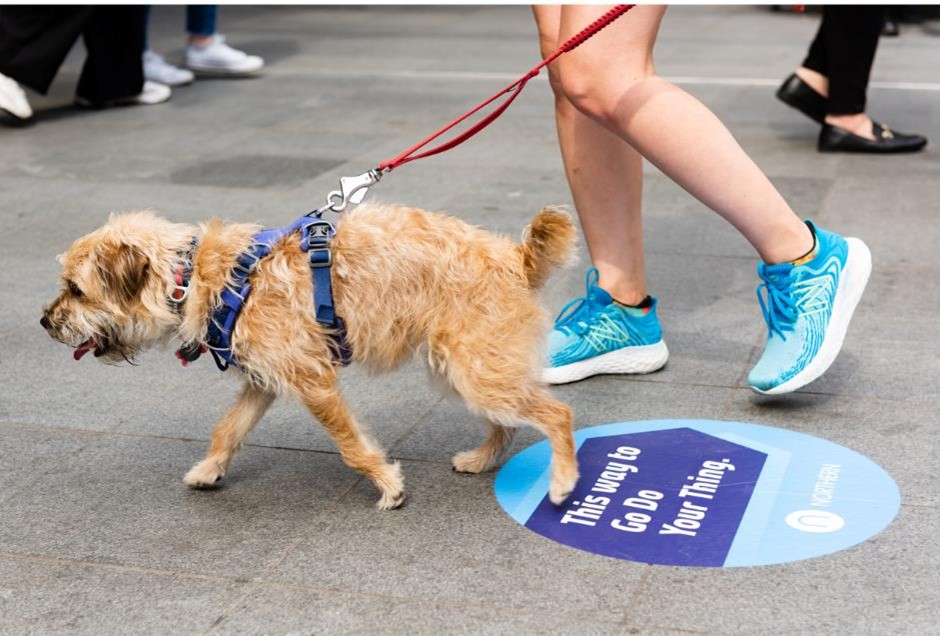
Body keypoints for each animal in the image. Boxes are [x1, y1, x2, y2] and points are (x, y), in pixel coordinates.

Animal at [42, 206, 580, 510]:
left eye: (77, 290)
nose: (45, 322)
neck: (196, 277)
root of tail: (514, 257)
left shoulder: (313, 380)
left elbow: (350, 445)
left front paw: (387, 484)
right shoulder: (263, 380)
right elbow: (228, 429)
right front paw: (210, 470)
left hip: (474, 369)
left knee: (557, 414)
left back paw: (562, 479)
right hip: (464, 368)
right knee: (509, 421)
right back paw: (483, 458)